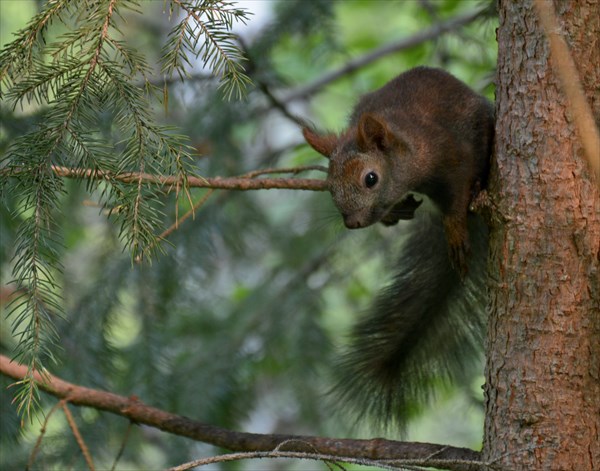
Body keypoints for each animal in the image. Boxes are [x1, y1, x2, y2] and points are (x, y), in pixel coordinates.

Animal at [302, 67, 494, 432]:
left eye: (371, 179)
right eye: (329, 186)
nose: (353, 223)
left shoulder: (451, 155)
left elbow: (457, 197)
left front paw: (455, 230)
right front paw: (394, 212)